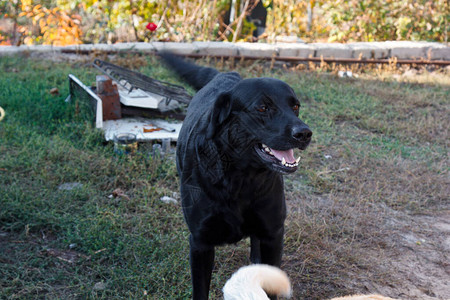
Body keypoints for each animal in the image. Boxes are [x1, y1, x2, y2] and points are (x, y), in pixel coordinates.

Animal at [160, 52, 312, 298]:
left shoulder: (273, 235)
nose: (305, 133)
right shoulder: (200, 242)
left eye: (295, 106)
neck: (241, 178)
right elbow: (200, 290)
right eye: (262, 108)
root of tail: (226, 75)